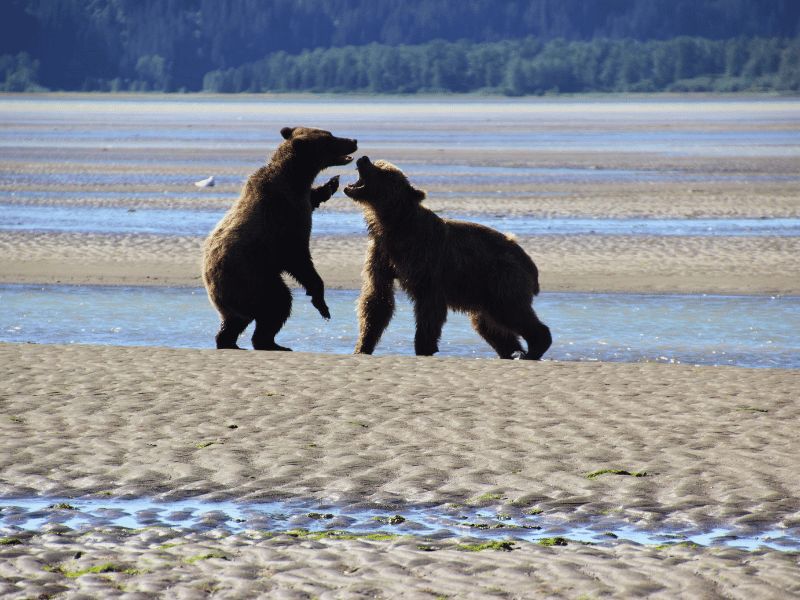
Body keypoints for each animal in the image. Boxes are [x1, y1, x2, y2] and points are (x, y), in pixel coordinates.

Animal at [202, 126, 358, 350]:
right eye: (330, 139)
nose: (353, 140)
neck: (295, 178)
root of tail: (212, 289)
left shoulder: (300, 199)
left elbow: (312, 198)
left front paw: (330, 184)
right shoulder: (284, 219)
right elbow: (299, 259)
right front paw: (321, 304)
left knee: (235, 321)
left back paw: (230, 342)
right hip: (252, 279)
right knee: (278, 303)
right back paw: (271, 343)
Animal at [343, 156, 552, 360]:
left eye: (384, 172)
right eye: (379, 163)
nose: (363, 159)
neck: (393, 226)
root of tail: (529, 261)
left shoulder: (425, 258)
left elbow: (429, 306)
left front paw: (424, 347)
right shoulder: (381, 255)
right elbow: (377, 298)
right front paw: (362, 347)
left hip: (501, 277)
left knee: (510, 310)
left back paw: (534, 348)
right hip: (481, 291)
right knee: (488, 324)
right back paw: (511, 351)